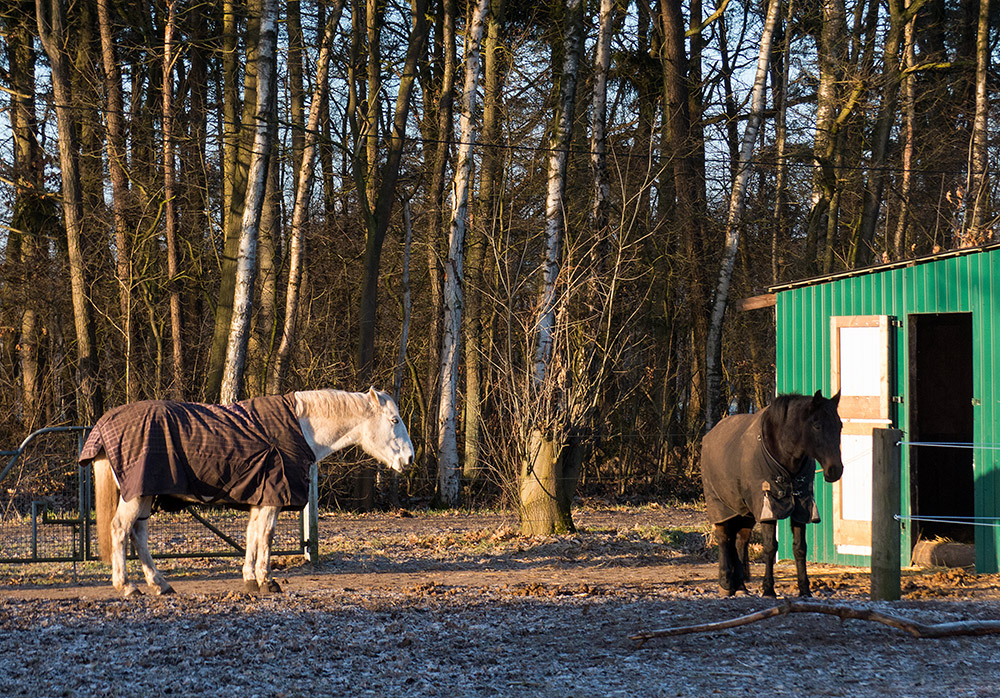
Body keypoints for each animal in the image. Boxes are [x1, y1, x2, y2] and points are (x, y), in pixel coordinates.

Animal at [87, 386, 414, 592]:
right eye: (395, 420)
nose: (409, 458)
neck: (300, 429)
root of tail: (105, 424)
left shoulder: (261, 498)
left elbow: (252, 535)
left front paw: (249, 579)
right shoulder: (272, 499)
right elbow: (265, 536)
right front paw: (266, 581)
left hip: (144, 495)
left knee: (138, 534)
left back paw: (159, 584)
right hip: (137, 495)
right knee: (120, 530)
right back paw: (127, 586)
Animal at [704, 388, 844, 596]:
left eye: (840, 425)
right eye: (817, 426)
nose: (835, 470)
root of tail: (709, 435)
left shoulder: (802, 506)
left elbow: (800, 548)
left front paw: (805, 590)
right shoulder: (768, 506)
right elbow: (770, 547)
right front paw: (768, 589)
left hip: (745, 512)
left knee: (740, 541)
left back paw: (740, 586)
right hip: (720, 506)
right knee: (724, 538)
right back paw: (726, 584)